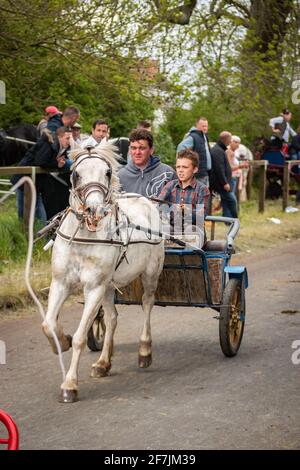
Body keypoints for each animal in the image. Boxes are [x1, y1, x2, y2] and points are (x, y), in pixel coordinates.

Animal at [41, 143, 164, 400]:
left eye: (107, 172)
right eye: (76, 174)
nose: (94, 208)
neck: (84, 235)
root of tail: (145, 201)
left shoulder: (94, 287)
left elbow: (80, 337)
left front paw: (70, 384)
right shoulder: (61, 282)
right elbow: (48, 324)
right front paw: (61, 341)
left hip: (150, 273)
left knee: (147, 304)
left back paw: (144, 351)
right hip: (108, 285)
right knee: (111, 318)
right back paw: (103, 363)